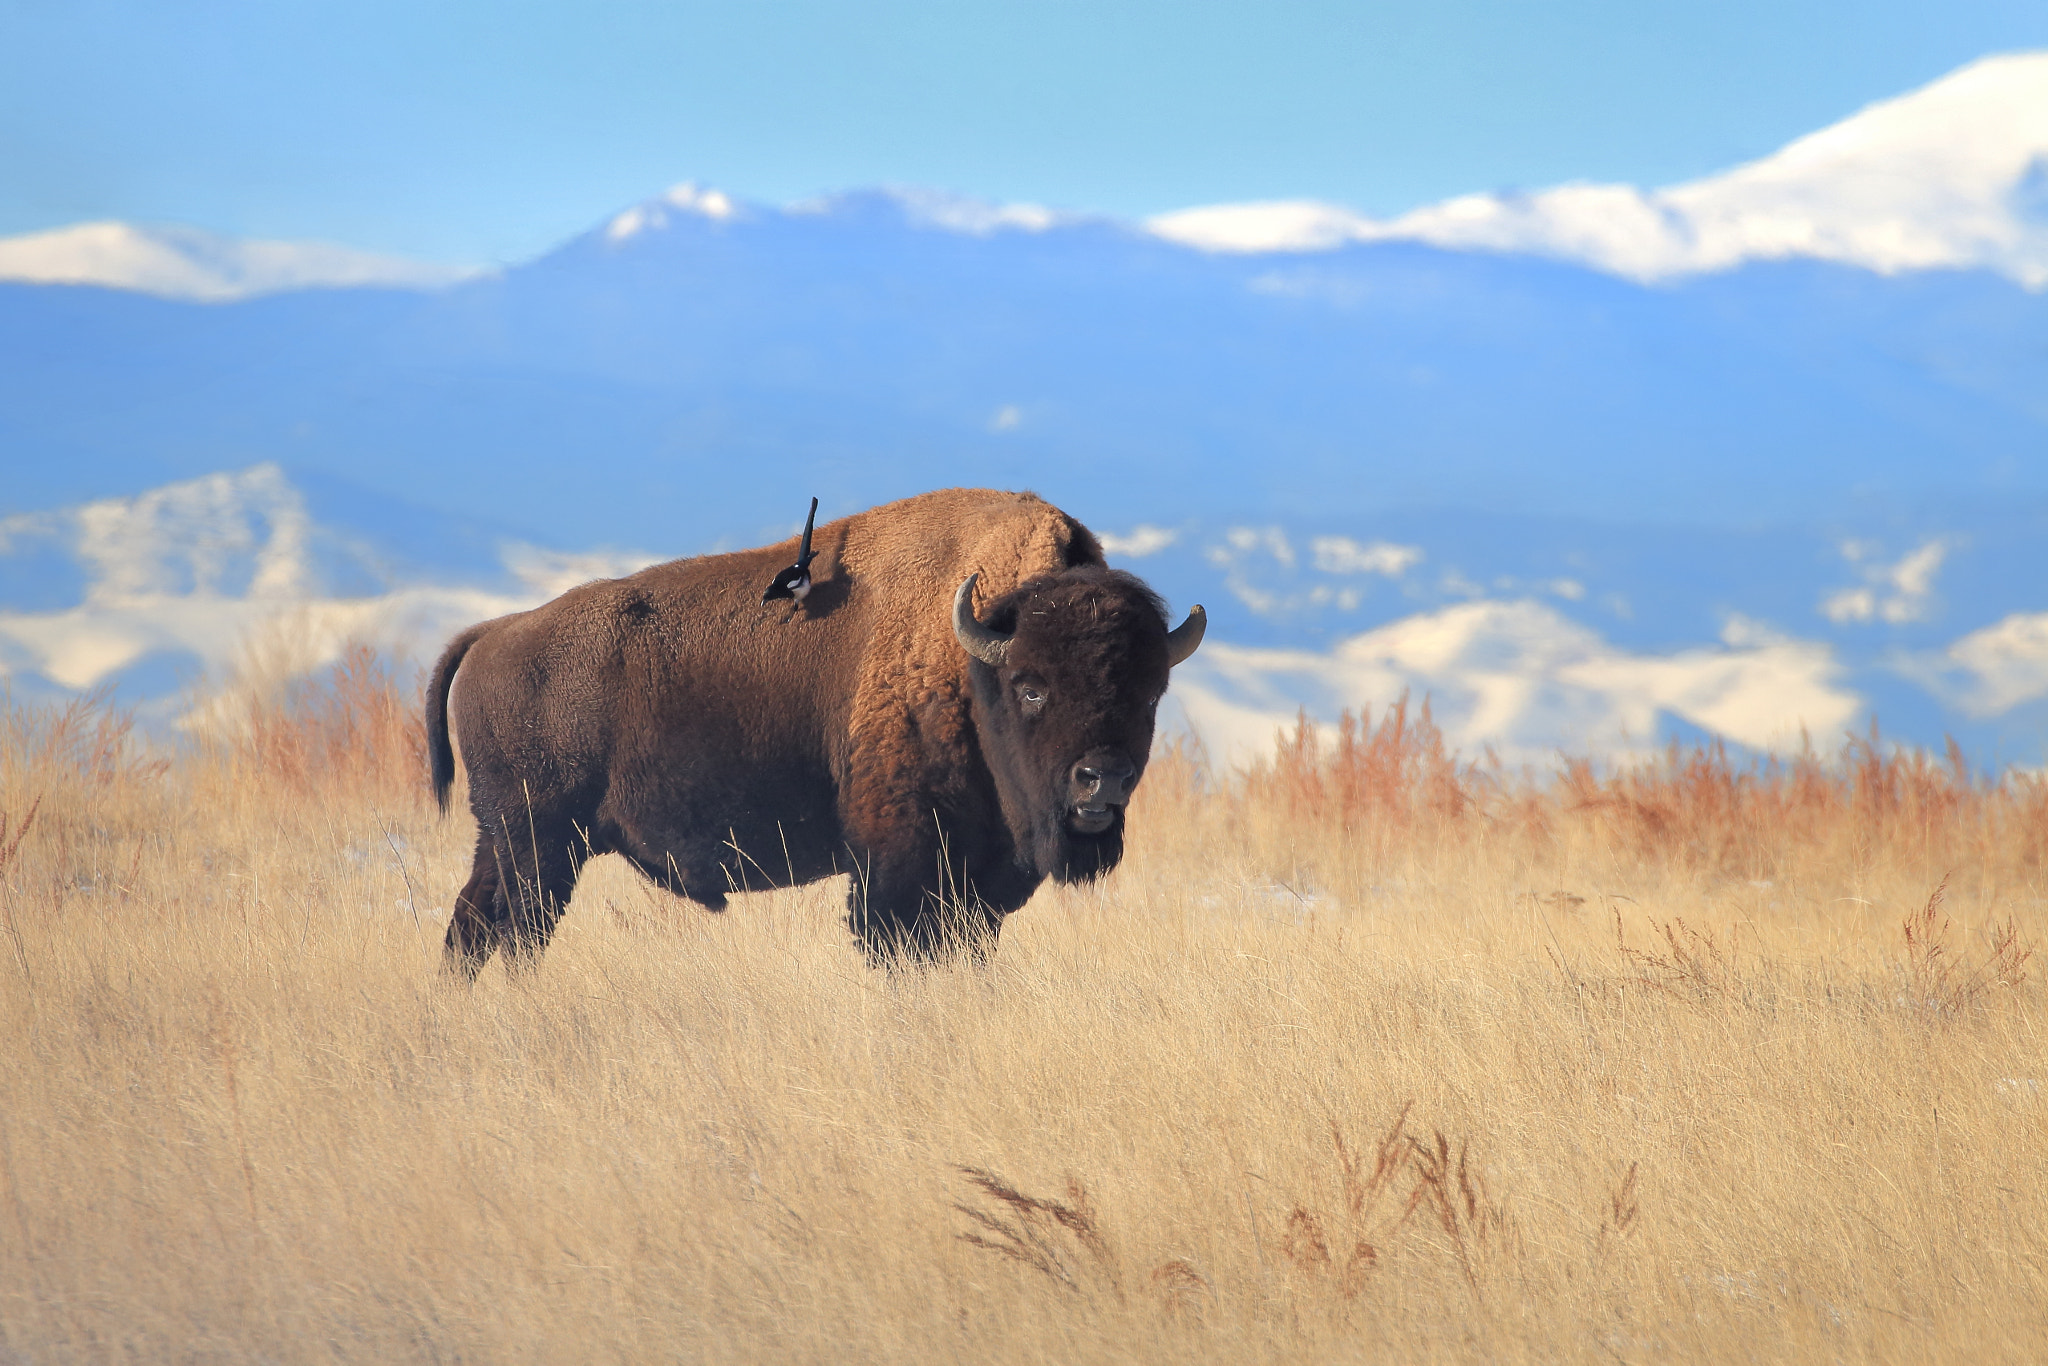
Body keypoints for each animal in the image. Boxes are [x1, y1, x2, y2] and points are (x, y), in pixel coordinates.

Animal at [426, 487, 1204, 970]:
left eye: (1149, 694)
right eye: (1031, 687)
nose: (1101, 780)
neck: (972, 658)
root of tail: (496, 633)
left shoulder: (980, 882)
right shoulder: (900, 864)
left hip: (513, 842)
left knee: (473, 926)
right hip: (540, 844)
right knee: (508, 932)